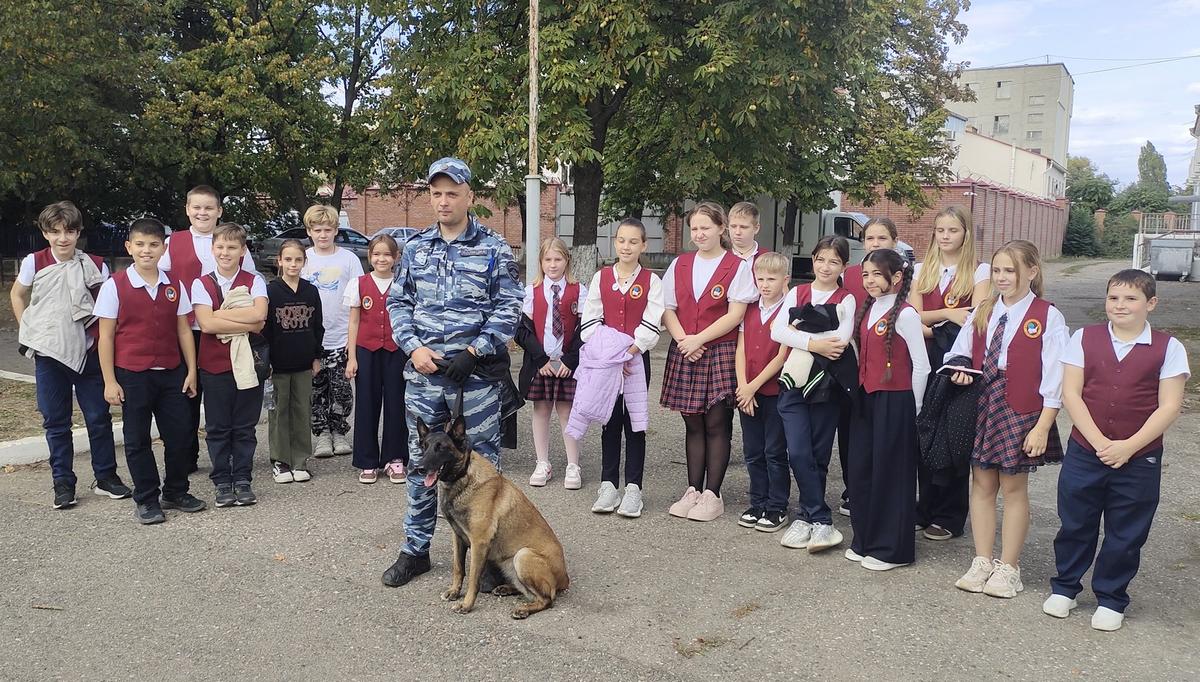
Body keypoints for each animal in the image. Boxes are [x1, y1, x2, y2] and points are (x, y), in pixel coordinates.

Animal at [415, 415, 568, 619]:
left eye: (441, 448)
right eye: (424, 446)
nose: (419, 468)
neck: (463, 478)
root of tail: (565, 578)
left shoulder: (479, 543)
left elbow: (473, 578)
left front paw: (466, 604)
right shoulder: (458, 537)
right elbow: (458, 568)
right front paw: (455, 591)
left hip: (523, 555)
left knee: (547, 599)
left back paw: (523, 609)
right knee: (529, 591)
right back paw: (506, 588)